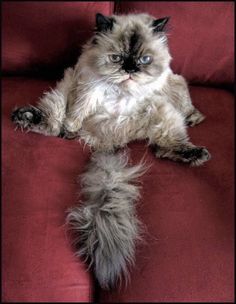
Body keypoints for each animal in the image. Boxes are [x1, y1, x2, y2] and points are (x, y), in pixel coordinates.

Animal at [11, 13, 210, 290]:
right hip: (61, 94)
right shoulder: (86, 86)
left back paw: (195, 152)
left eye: (144, 60)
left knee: (165, 146)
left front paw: (195, 117)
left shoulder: (167, 87)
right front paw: (70, 130)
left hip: (163, 112)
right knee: (51, 123)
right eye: (116, 58)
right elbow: (78, 110)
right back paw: (30, 119)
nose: (130, 70)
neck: (122, 90)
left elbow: (182, 102)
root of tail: (106, 143)